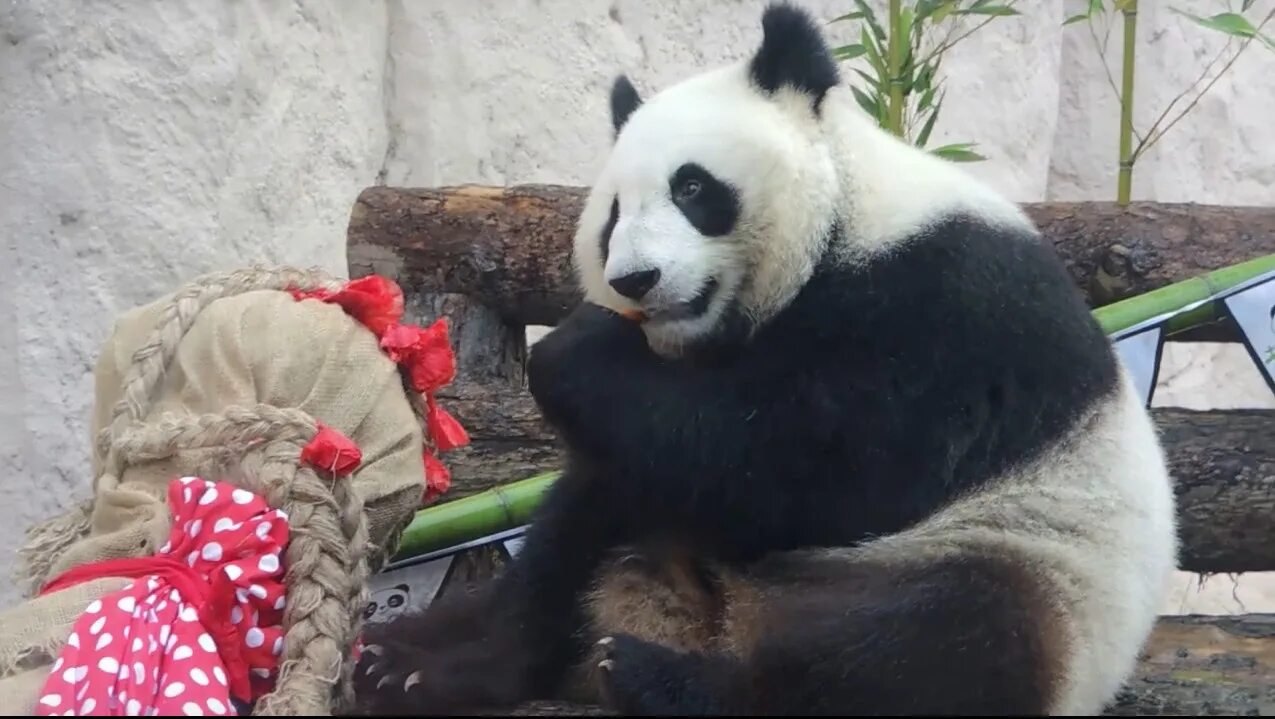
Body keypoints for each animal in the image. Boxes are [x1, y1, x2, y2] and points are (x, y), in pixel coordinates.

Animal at [349, 2, 1173, 713]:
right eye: (612, 215)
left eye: (691, 186)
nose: (634, 280)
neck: (845, 221)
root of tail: (724, 617)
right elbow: (678, 447)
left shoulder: (947, 313)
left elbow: (823, 472)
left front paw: (573, 347)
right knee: (582, 524)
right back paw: (418, 665)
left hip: (1028, 560)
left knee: (937, 645)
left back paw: (662, 679)